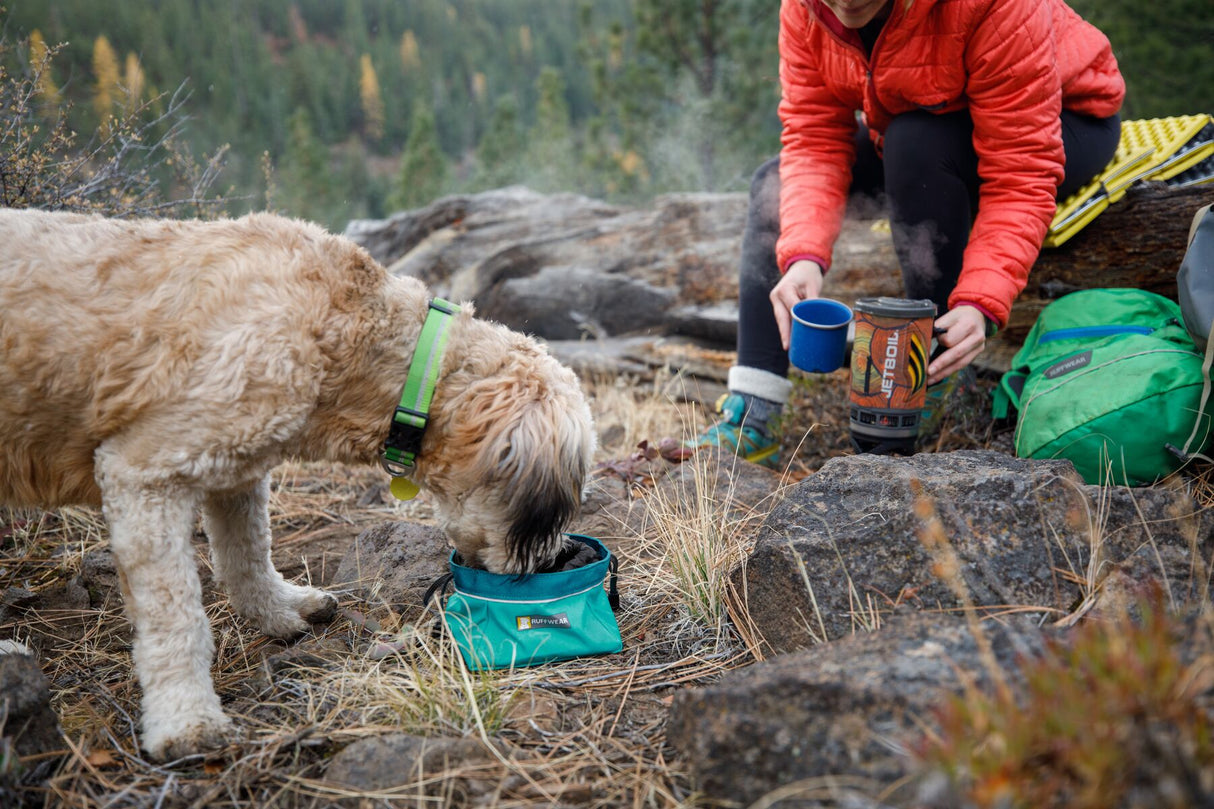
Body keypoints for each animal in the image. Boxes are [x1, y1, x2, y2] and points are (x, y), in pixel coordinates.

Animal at [0, 206, 597, 757]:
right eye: (553, 505)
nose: (558, 560)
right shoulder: (144, 475)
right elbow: (176, 616)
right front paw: (186, 719)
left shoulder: (236, 470)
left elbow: (247, 556)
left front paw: (279, 610)